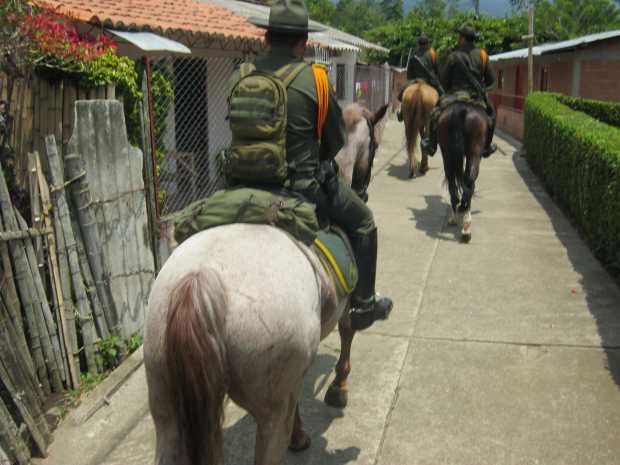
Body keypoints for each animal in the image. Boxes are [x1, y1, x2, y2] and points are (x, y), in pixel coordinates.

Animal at [144, 103, 390, 465]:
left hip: (165, 410)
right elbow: (349, 332)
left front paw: (300, 431)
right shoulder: (348, 307)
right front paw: (338, 390)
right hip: (268, 412)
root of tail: (200, 281)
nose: (364, 191)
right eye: (373, 145)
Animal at [437, 101, 489, 243]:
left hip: (447, 153)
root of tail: (461, 110)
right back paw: (466, 226)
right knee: (469, 181)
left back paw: (454, 217)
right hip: (474, 153)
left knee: (452, 182)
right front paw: (464, 206)